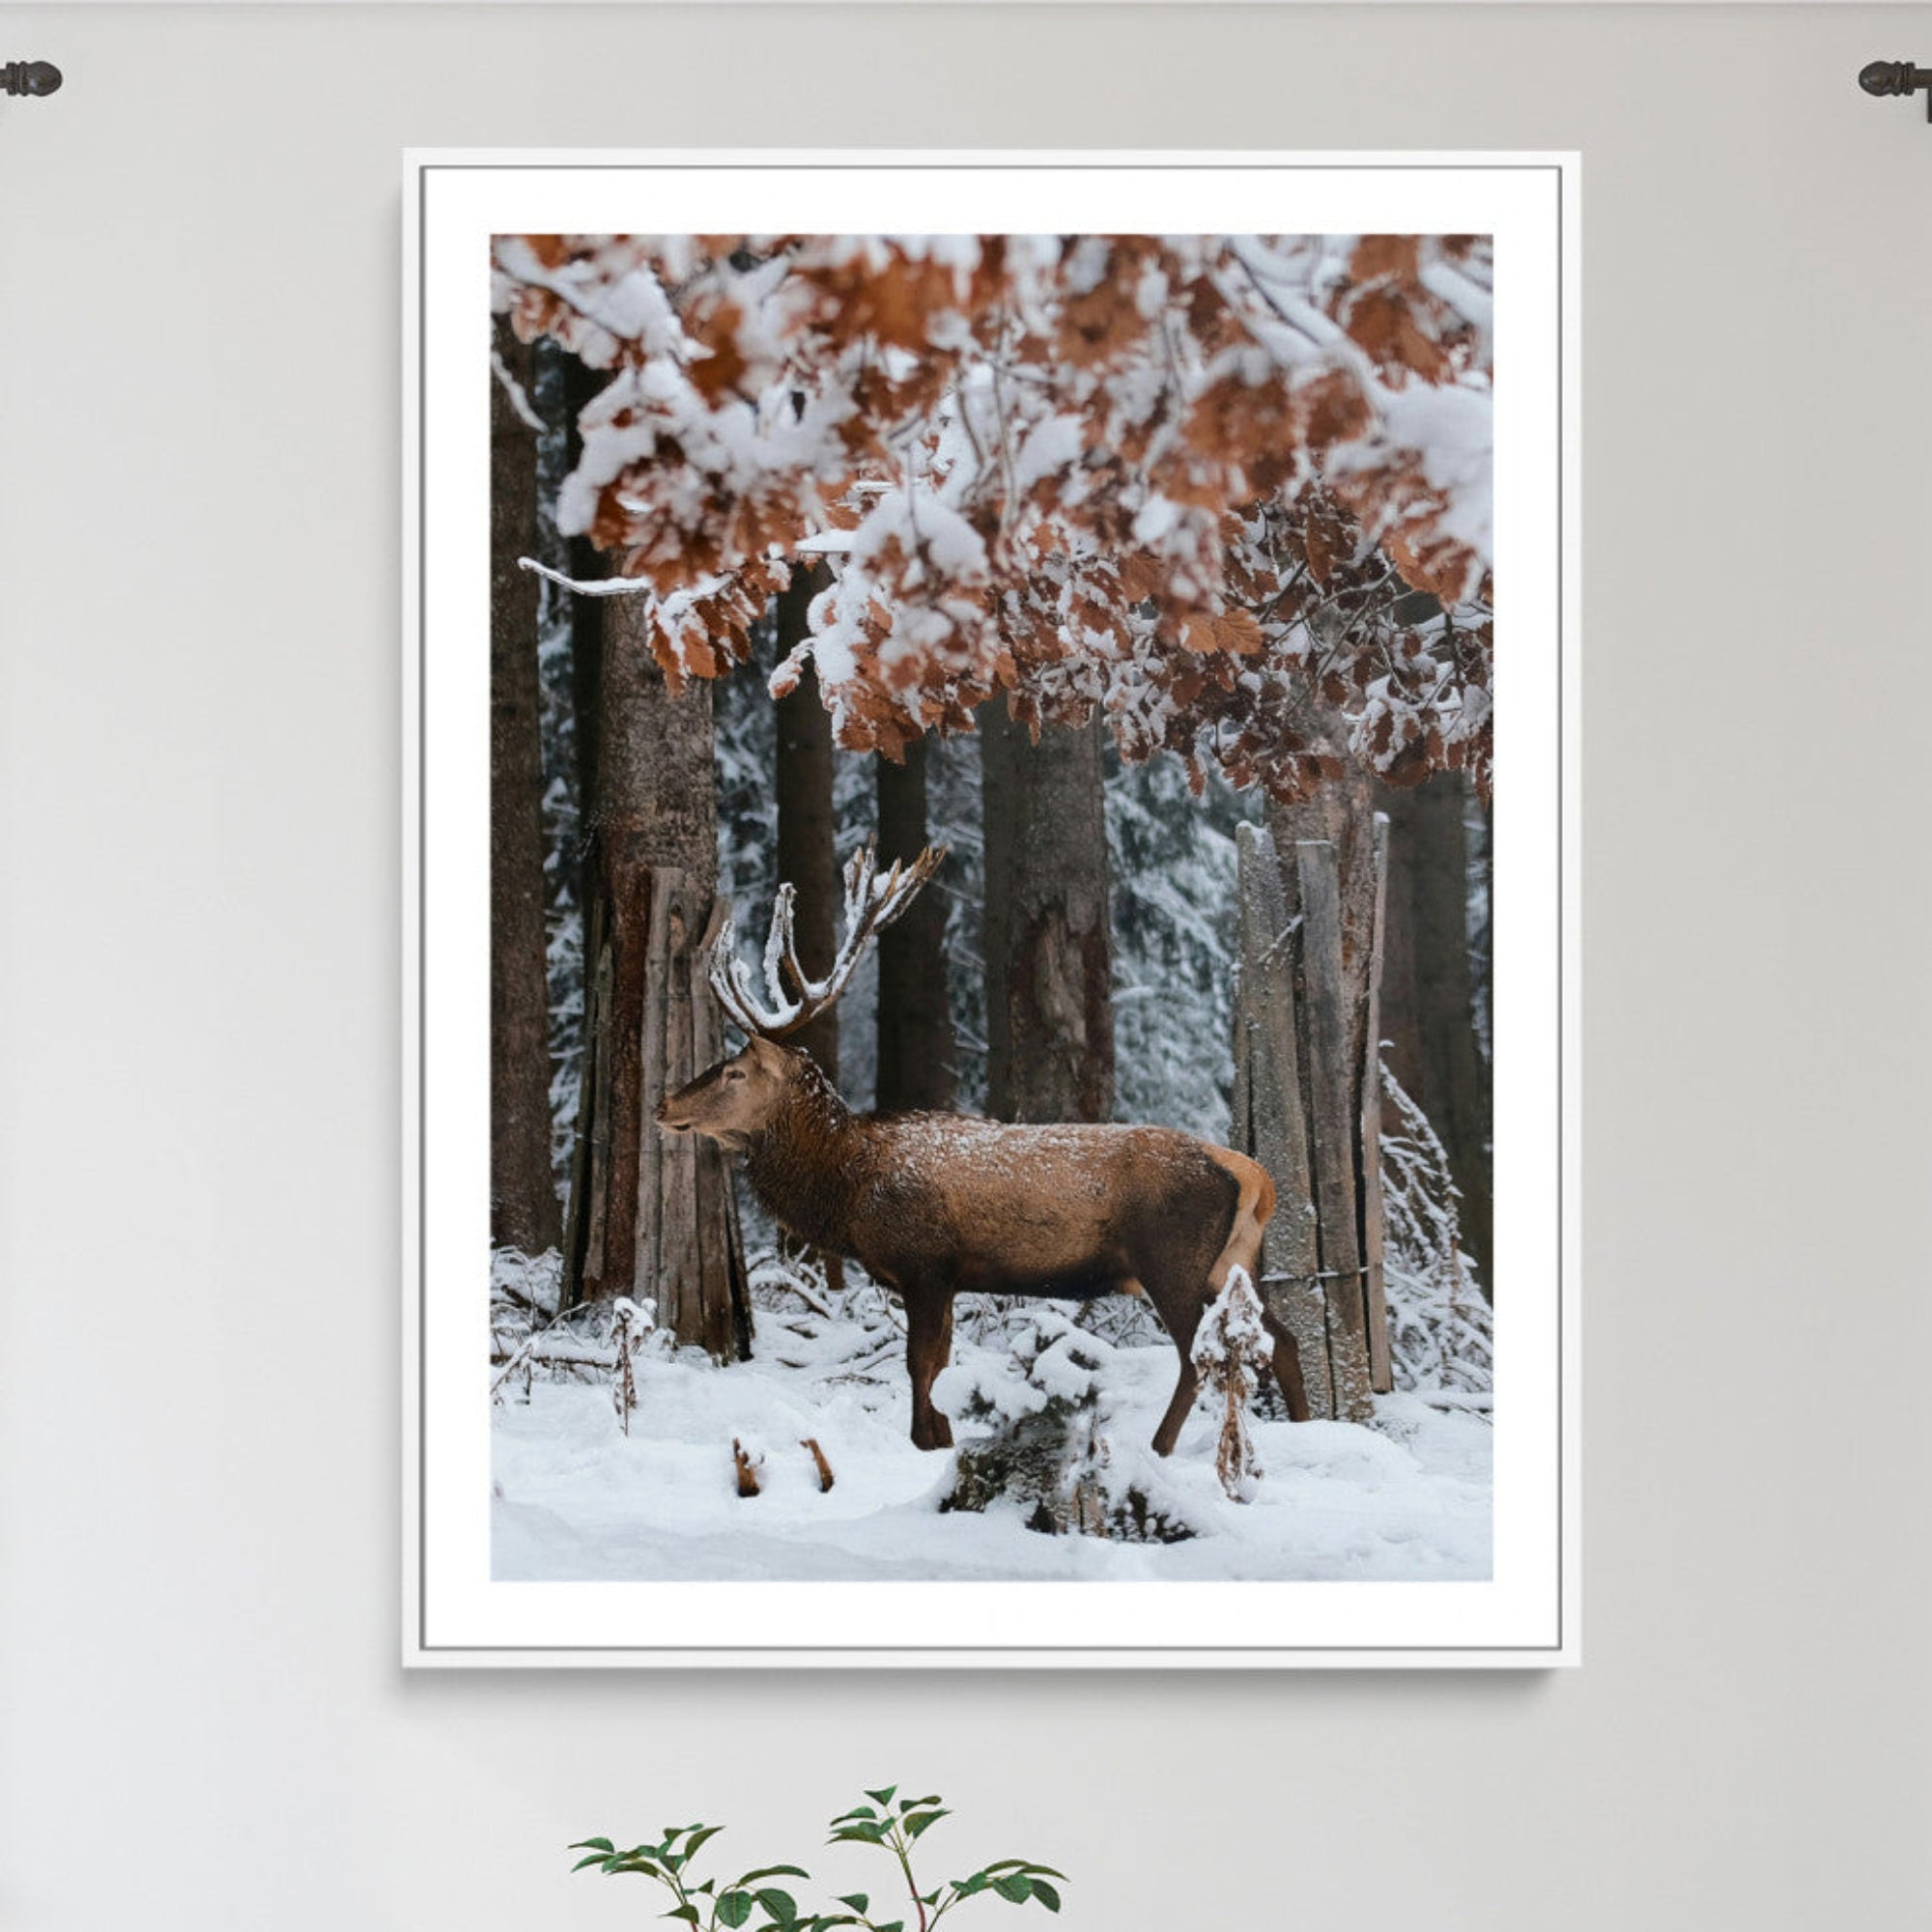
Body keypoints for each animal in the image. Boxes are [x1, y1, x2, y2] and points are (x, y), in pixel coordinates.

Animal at [656, 841, 1311, 1457]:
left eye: (734, 1071)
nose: (664, 1106)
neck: (848, 1189)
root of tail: (1252, 1176)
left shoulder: (925, 1261)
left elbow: (920, 1364)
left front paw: (925, 1441)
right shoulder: (947, 1276)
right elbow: (941, 1362)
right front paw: (944, 1437)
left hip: (1171, 1258)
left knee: (1197, 1355)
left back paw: (1159, 1447)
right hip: (1231, 1261)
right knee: (1282, 1339)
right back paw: (1310, 1429)